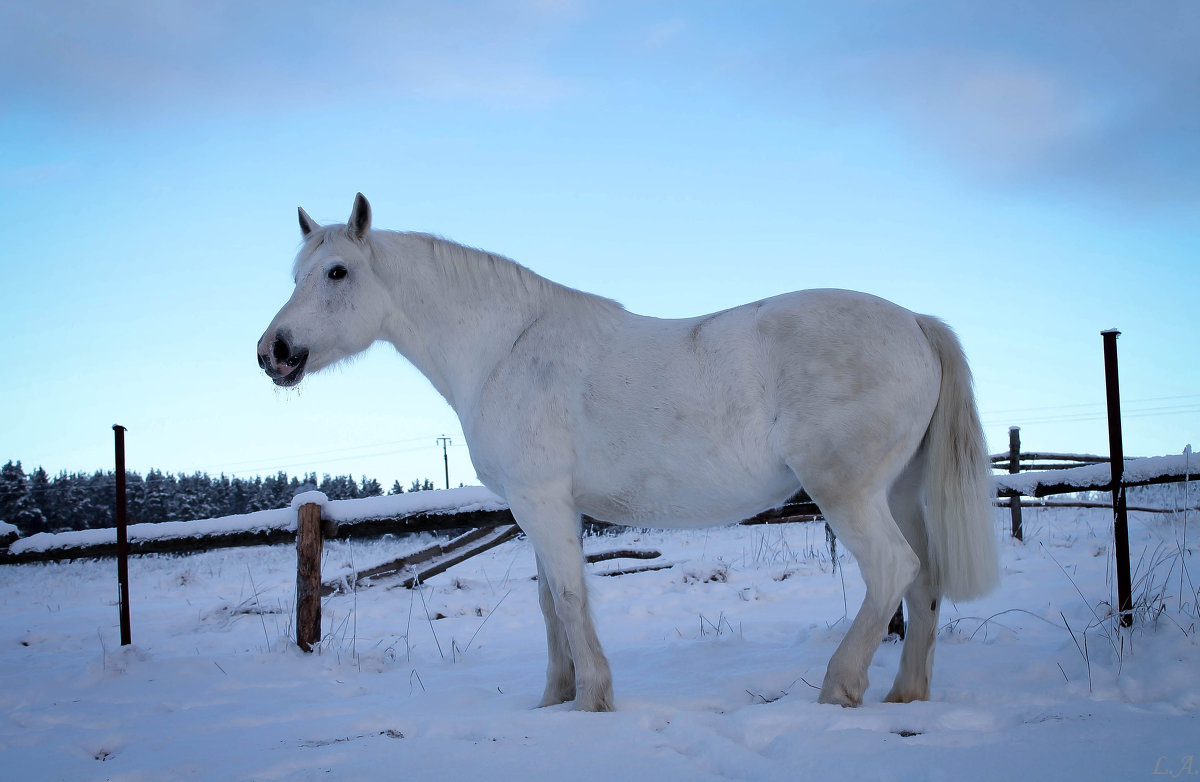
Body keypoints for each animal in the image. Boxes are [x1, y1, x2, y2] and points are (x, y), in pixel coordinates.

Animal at [258, 194, 998, 710]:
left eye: (337, 271)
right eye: (297, 273)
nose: (275, 351)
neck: (506, 348)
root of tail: (915, 323)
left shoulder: (543, 502)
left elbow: (568, 597)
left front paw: (591, 700)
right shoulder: (539, 509)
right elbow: (548, 604)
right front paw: (553, 699)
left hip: (846, 491)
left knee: (893, 570)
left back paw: (839, 688)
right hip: (900, 491)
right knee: (925, 580)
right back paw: (906, 695)